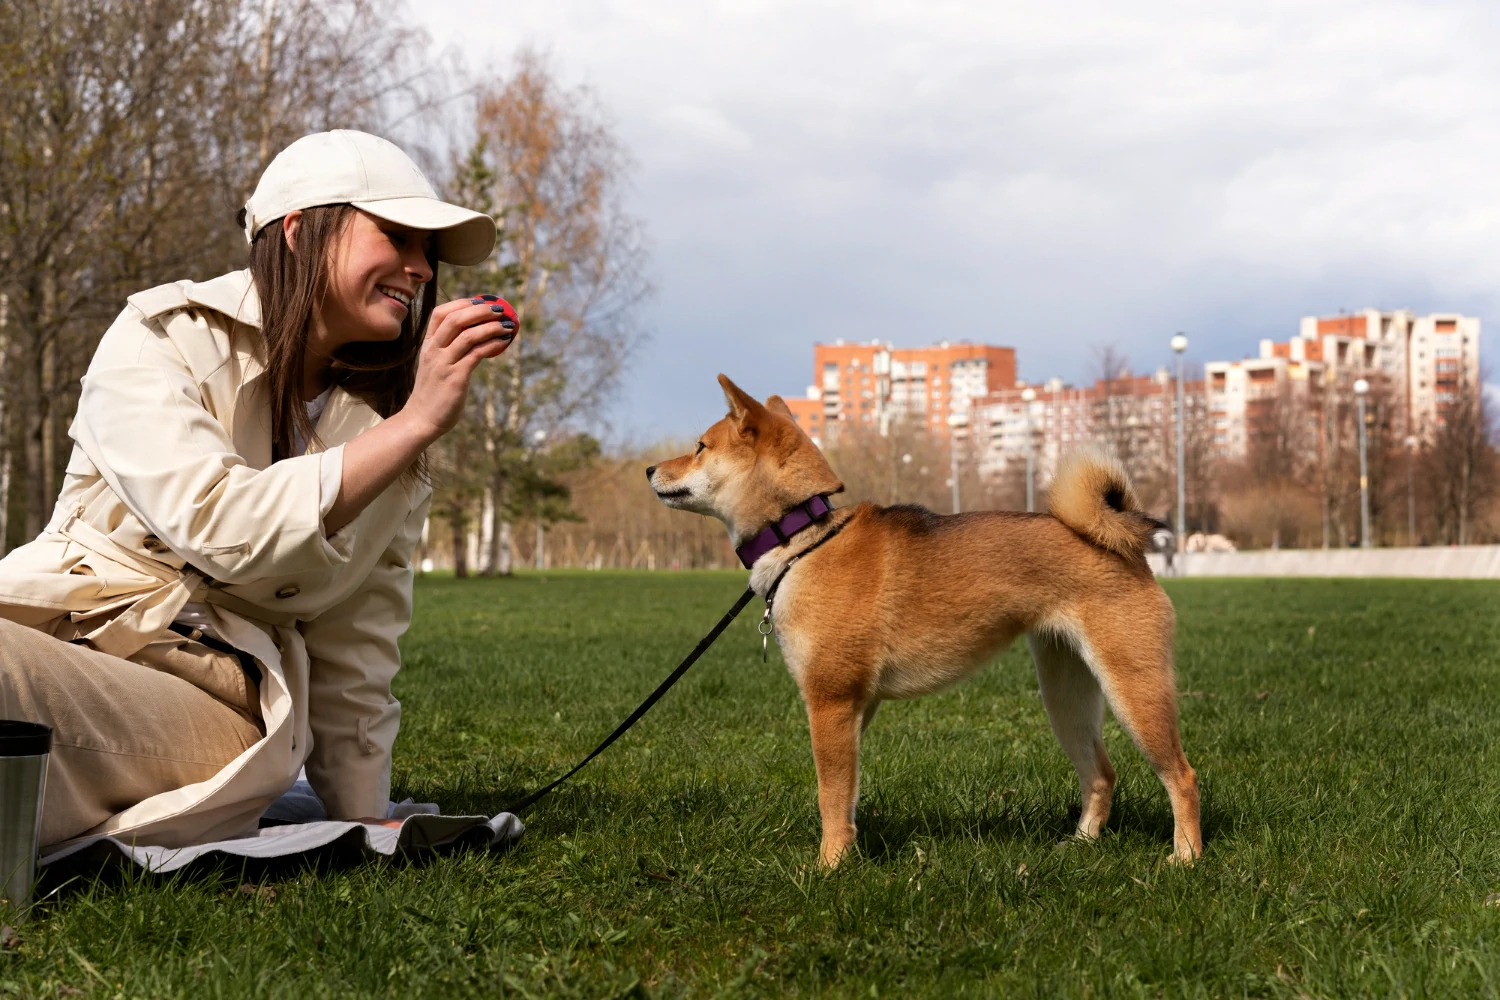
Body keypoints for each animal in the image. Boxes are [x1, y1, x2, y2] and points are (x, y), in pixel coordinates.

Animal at [651, 374, 1200, 869]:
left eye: (700, 447)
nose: (652, 468)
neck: (802, 537)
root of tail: (1122, 545)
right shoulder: (857, 707)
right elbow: (846, 797)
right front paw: (847, 854)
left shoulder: (831, 702)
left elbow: (830, 796)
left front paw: (828, 867)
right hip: (1066, 696)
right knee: (1101, 774)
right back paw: (1082, 844)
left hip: (1134, 689)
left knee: (1183, 776)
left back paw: (1186, 857)